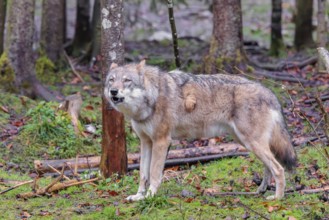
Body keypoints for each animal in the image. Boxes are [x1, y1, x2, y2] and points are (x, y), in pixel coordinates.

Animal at [104, 60, 296, 201]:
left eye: (127, 80)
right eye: (112, 80)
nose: (113, 91)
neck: (152, 96)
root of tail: (269, 92)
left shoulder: (162, 141)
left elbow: (154, 173)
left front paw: (150, 196)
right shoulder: (146, 142)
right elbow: (143, 174)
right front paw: (138, 196)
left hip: (251, 142)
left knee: (278, 168)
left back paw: (277, 198)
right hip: (247, 142)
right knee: (269, 166)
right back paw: (261, 190)